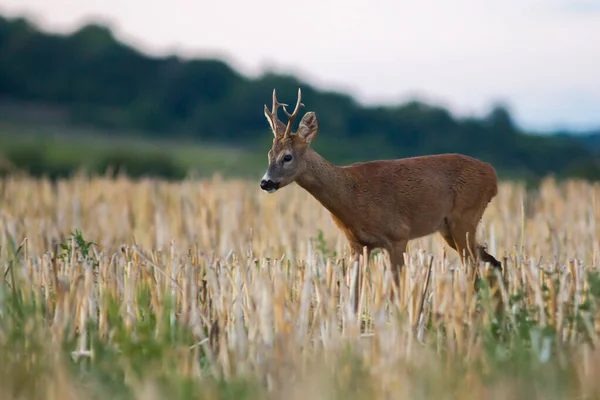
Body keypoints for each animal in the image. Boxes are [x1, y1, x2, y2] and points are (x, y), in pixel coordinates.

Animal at [258, 86, 502, 306]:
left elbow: (396, 291)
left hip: (465, 218)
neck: (351, 195)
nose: (265, 182)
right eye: (269, 154)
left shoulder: (398, 236)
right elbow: (354, 295)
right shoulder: (357, 244)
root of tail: (493, 175)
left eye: (287, 157)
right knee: (492, 262)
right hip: (448, 228)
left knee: (473, 268)